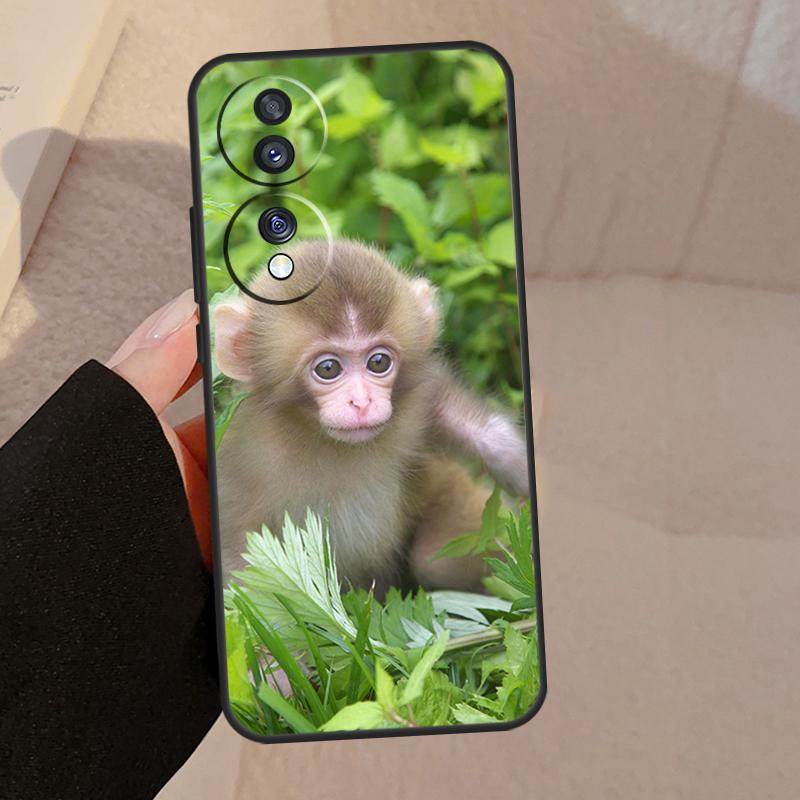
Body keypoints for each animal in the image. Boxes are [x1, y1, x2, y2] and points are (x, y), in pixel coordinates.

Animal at [213, 239, 530, 594]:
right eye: (328, 368)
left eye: (378, 362)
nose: (362, 402)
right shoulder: (241, 463)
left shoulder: (416, 403)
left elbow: (459, 416)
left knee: (433, 560)